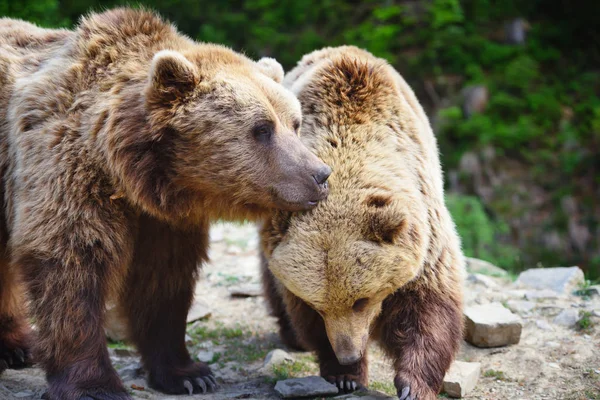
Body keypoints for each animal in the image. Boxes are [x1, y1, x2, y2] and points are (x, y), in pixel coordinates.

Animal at [0, 8, 332, 400]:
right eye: (262, 129)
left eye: (294, 123)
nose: (320, 174)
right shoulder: (66, 168)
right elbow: (71, 268)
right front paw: (96, 385)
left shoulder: (164, 220)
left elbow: (162, 282)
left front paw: (188, 374)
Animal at [258, 47, 464, 400]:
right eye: (318, 306)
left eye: (361, 300)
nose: (348, 353)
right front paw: (345, 375)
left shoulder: (426, 231)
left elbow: (429, 305)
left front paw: (414, 385)